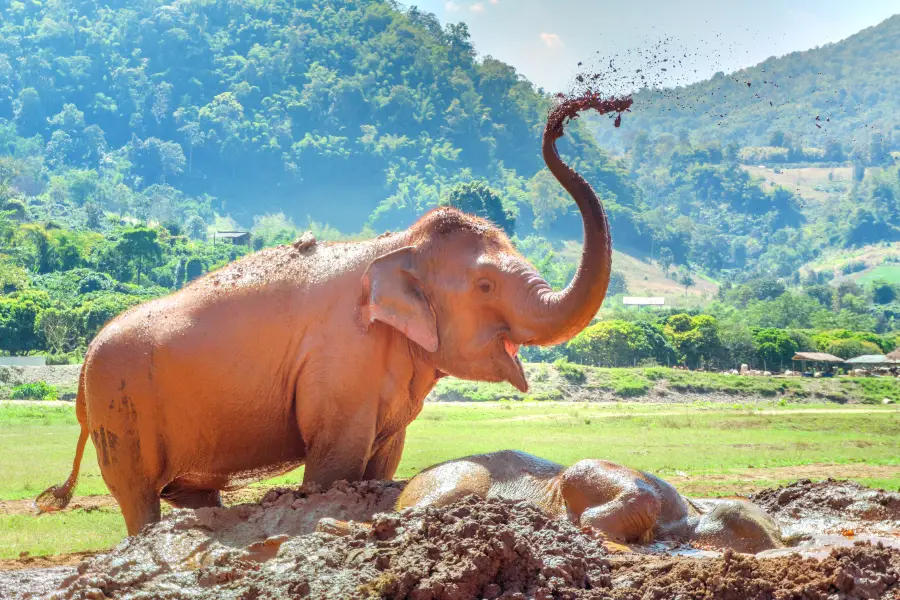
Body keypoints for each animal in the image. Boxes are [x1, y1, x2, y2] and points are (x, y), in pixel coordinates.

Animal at [38, 96, 628, 536]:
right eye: (485, 285)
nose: (564, 118)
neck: (398, 244)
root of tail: (84, 364)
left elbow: (382, 462)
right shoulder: (341, 361)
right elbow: (333, 464)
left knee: (193, 496)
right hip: (120, 410)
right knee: (138, 496)